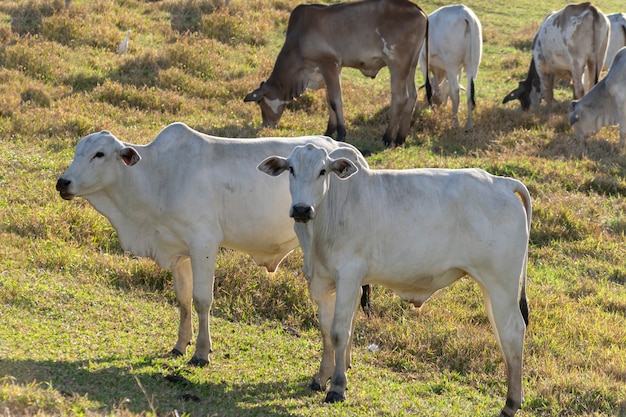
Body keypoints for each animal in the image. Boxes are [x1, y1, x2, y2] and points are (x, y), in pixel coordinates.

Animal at [56, 122, 366, 366]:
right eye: (77, 151)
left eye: (99, 154)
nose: (63, 182)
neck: (160, 176)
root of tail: (350, 151)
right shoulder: (179, 249)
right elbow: (183, 298)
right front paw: (180, 345)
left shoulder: (203, 243)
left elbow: (202, 299)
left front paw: (201, 353)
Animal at [243, 0, 428, 146]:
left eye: (260, 103)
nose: (266, 125)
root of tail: (417, 8)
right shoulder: (330, 70)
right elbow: (329, 99)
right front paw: (328, 131)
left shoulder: (329, 65)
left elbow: (335, 100)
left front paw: (340, 133)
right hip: (411, 65)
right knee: (412, 95)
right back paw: (400, 138)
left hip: (397, 64)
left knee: (400, 98)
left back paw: (388, 138)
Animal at [258, 143, 532, 416]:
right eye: (291, 169)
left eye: (322, 171)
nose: (302, 209)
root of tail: (502, 182)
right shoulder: (325, 282)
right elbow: (326, 330)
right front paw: (321, 377)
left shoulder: (349, 275)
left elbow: (339, 331)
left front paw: (337, 387)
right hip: (490, 288)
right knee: (502, 333)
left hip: (502, 284)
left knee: (513, 331)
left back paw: (511, 402)